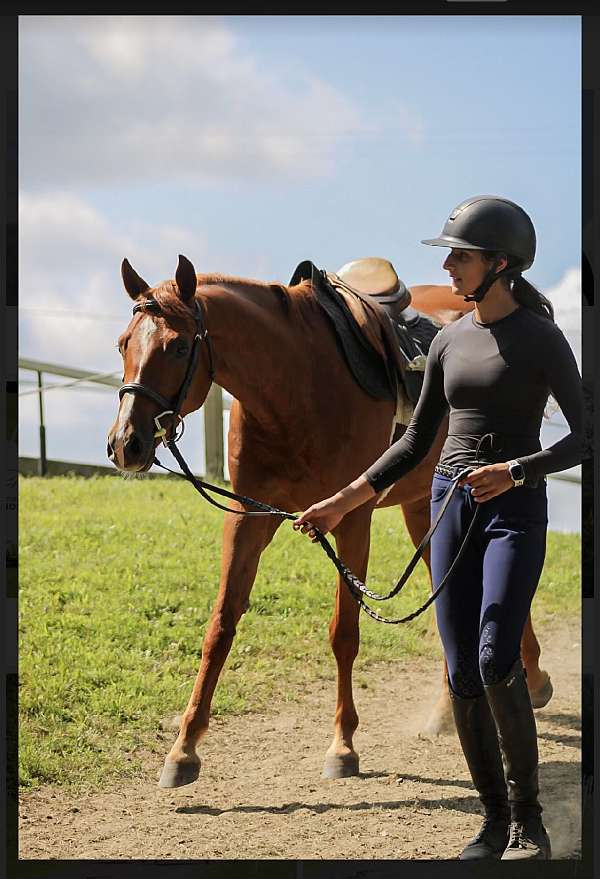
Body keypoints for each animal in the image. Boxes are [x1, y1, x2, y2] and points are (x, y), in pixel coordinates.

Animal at [105, 256, 552, 792]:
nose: (125, 444)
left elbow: (344, 633)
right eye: (123, 343)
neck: (296, 385)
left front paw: (343, 744)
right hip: (426, 507)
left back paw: (531, 679)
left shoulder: (351, 520)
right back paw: (454, 709)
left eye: (175, 346)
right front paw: (184, 748)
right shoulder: (250, 519)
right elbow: (221, 625)